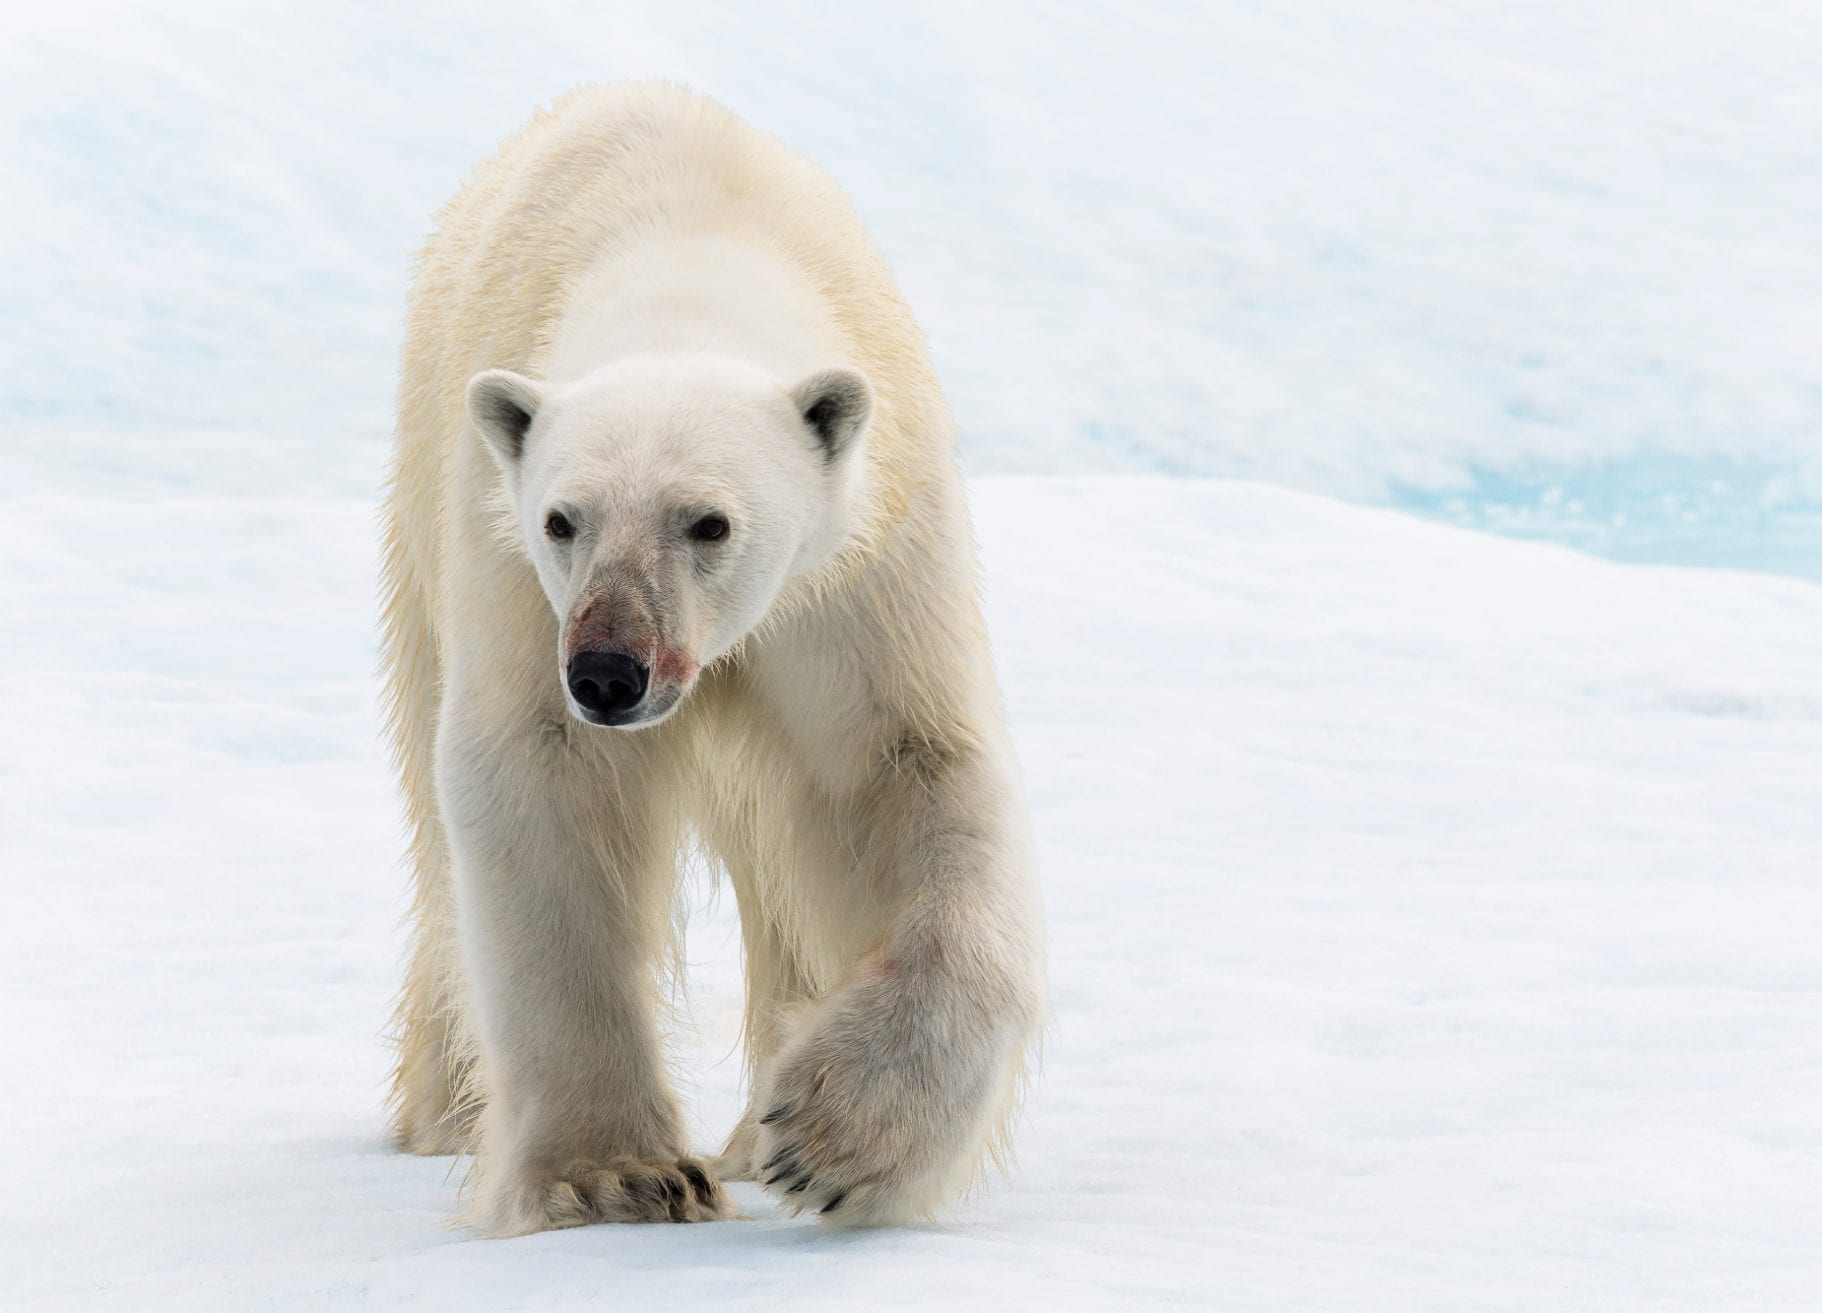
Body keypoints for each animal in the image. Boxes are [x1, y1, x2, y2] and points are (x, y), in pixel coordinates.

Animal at [377, 81, 1049, 1231]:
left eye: (710, 522)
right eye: (563, 519)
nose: (610, 671)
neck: (688, 255)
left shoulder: (855, 572)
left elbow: (908, 765)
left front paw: (833, 1135)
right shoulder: (503, 559)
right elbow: (538, 777)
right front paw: (614, 1175)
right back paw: (452, 1108)